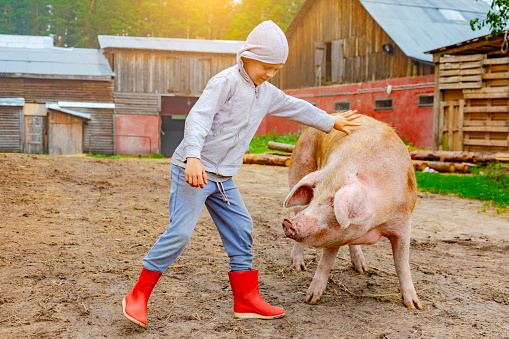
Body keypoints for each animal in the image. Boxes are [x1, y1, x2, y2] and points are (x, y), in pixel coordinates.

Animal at [282, 115, 420, 310]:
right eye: (315, 196)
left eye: (333, 201)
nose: (288, 223)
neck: (375, 224)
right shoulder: (333, 233)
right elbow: (326, 261)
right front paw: (310, 299)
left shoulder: (403, 223)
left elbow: (402, 264)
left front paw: (414, 306)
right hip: (298, 172)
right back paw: (299, 267)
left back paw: (362, 268)